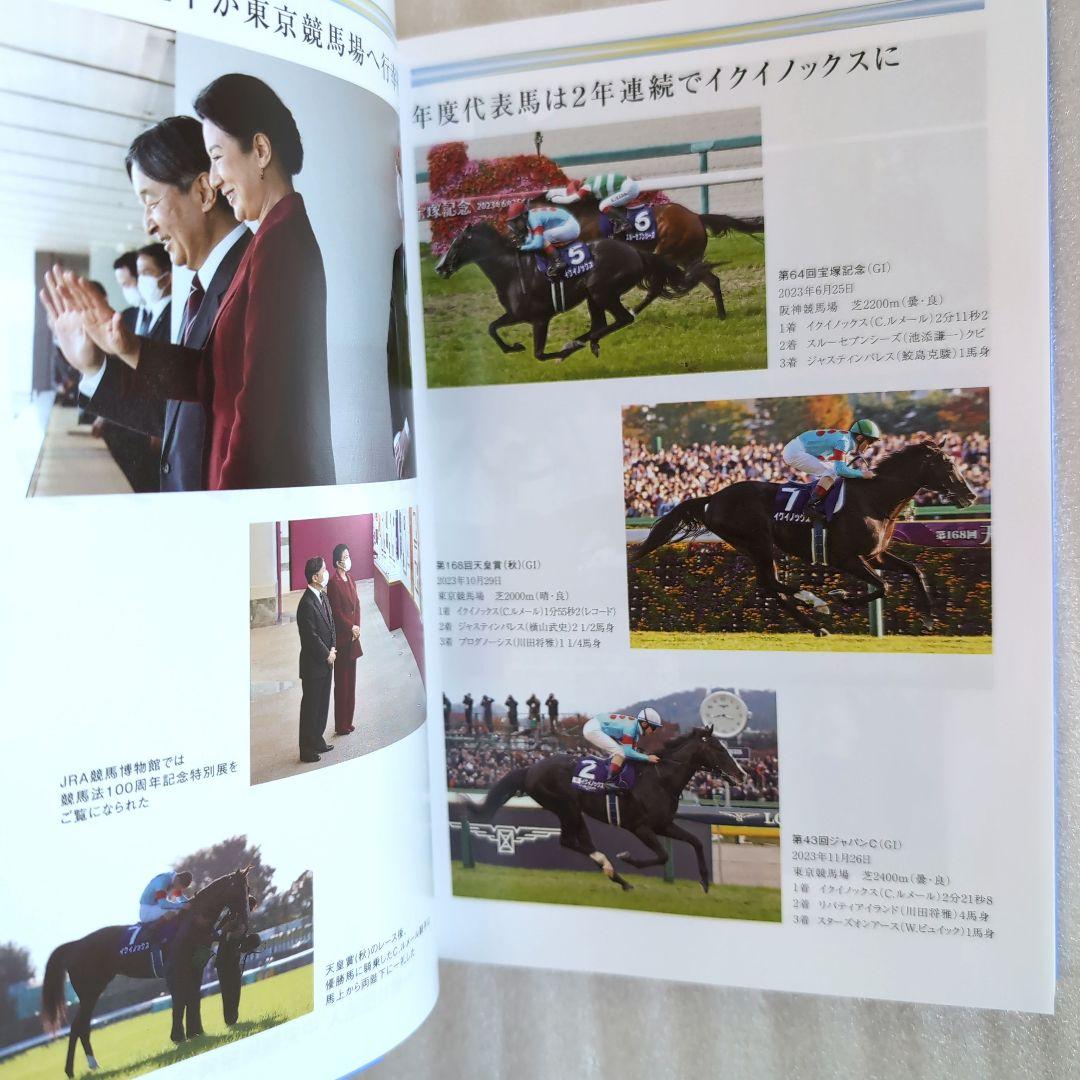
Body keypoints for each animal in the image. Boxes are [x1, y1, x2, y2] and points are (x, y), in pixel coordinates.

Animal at [41, 868, 252, 1078]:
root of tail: (75, 944)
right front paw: (179, 1037)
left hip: (92, 992)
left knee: (83, 1026)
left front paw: (196, 1033)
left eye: (248, 889)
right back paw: (71, 1070)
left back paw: (92, 1064)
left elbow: (193, 1000)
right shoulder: (175, 972)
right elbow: (179, 1003)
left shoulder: (195, 969)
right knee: (77, 1026)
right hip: (90, 992)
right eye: (239, 890)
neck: (192, 922)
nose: (245, 918)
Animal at [434, 221, 701, 362]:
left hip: (601, 290)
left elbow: (539, 354)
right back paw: (583, 342)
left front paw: (560, 352)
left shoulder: (539, 318)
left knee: (622, 319)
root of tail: (635, 252)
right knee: (601, 324)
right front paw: (512, 348)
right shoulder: (516, 314)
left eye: (456, 244)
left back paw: (579, 343)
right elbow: (492, 327)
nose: (440, 268)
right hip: (594, 297)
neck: (510, 270)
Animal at [467, 725, 746, 892]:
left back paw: (616, 876)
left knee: (576, 841)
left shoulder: (664, 824)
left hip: (571, 810)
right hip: (566, 806)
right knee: (569, 841)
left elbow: (695, 842)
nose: (742, 775)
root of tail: (530, 769)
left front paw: (704, 881)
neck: (660, 779)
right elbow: (663, 856)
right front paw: (627, 858)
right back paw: (612, 868)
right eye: (719, 748)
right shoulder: (640, 827)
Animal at [566, 195, 763, 319]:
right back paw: (721, 315)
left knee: (656, 287)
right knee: (711, 280)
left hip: (666, 253)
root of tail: (696, 217)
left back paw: (634, 312)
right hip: (687, 258)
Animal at [630, 440, 977, 636]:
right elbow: (883, 586)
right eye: (948, 465)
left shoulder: (876, 555)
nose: (971, 495)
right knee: (773, 583)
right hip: (758, 541)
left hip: (750, 545)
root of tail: (713, 497)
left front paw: (929, 619)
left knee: (771, 586)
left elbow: (913, 571)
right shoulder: (845, 558)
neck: (873, 500)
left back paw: (815, 622)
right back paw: (815, 602)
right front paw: (839, 596)